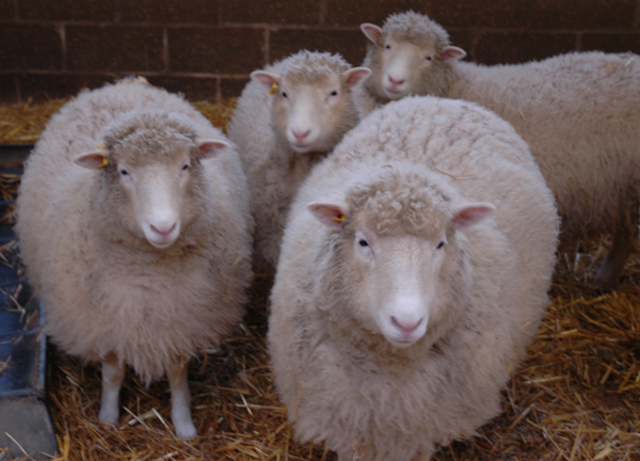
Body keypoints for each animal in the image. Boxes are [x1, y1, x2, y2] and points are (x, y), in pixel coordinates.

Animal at [15, 78, 253, 439]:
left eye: (185, 165)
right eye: (124, 171)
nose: (163, 226)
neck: (150, 276)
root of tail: (124, 84)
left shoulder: (182, 319)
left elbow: (177, 375)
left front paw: (184, 426)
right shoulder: (108, 322)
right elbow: (113, 374)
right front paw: (107, 418)